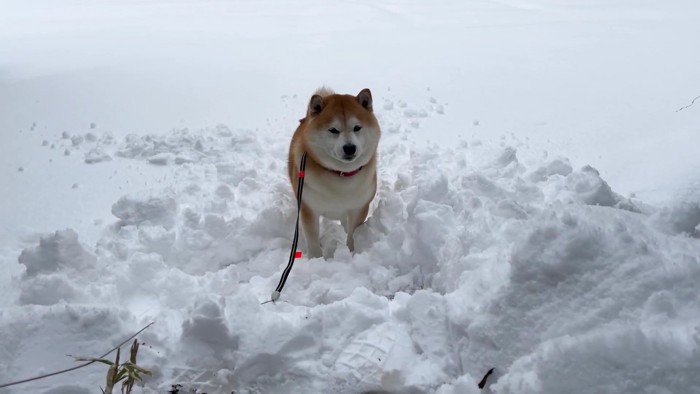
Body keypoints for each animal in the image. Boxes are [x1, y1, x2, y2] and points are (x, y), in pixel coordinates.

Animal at [288, 87, 380, 258]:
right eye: (333, 130)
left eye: (357, 127)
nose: (349, 148)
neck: (341, 174)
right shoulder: (308, 208)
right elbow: (312, 239)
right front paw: (316, 259)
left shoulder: (359, 207)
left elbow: (352, 234)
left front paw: (351, 252)